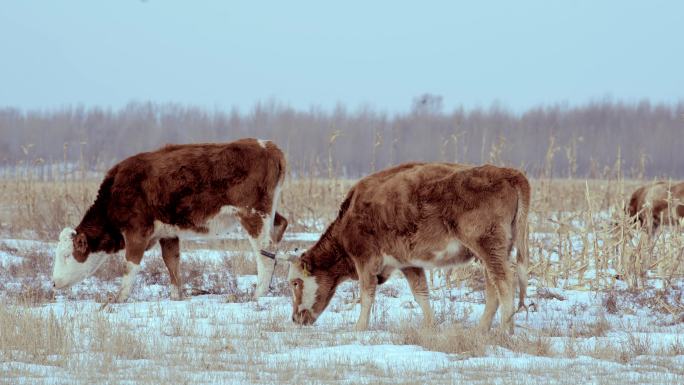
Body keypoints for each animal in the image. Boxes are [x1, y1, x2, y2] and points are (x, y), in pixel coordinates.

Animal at [52, 137, 288, 300]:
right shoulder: (168, 234)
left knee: (265, 251)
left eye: (66, 255)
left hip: (253, 215)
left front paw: (117, 299)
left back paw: (257, 294)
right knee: (280, 227)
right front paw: (177, 296)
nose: (54, 283)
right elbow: (172, 264)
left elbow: (130, 266)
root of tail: (267, 146)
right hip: (269, 213)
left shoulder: (137, 232)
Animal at [280, 162, 532, 332]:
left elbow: (366, 294)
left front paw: (359, 327)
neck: (350, 216)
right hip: (493, 251)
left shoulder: (365, 261)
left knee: (504, 281)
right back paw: (481, 330)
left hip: (488, 247)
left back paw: (504, 330)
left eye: (295, 282)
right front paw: (430, 325)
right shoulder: (408, 264)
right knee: (493, 286)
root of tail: (510, 173)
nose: (294, 318)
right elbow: (421, 294)